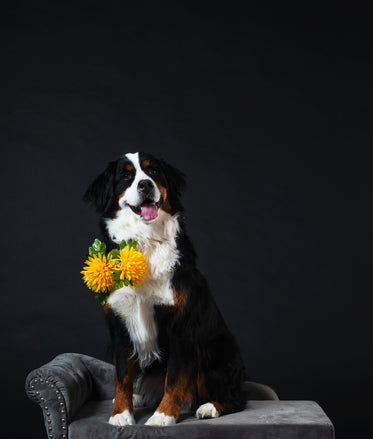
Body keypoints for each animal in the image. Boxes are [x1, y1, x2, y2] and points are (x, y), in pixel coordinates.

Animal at [84, 152, 247, 426]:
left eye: (154, 172)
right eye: (126, 176)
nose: (145, 185)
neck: (145, 240)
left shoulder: (179, 325)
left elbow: (175, 378)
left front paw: (163, 417)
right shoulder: (120, 324)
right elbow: (122, 376)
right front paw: (121, 413)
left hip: (217, 350)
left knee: (236, 398)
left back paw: (209, 407)